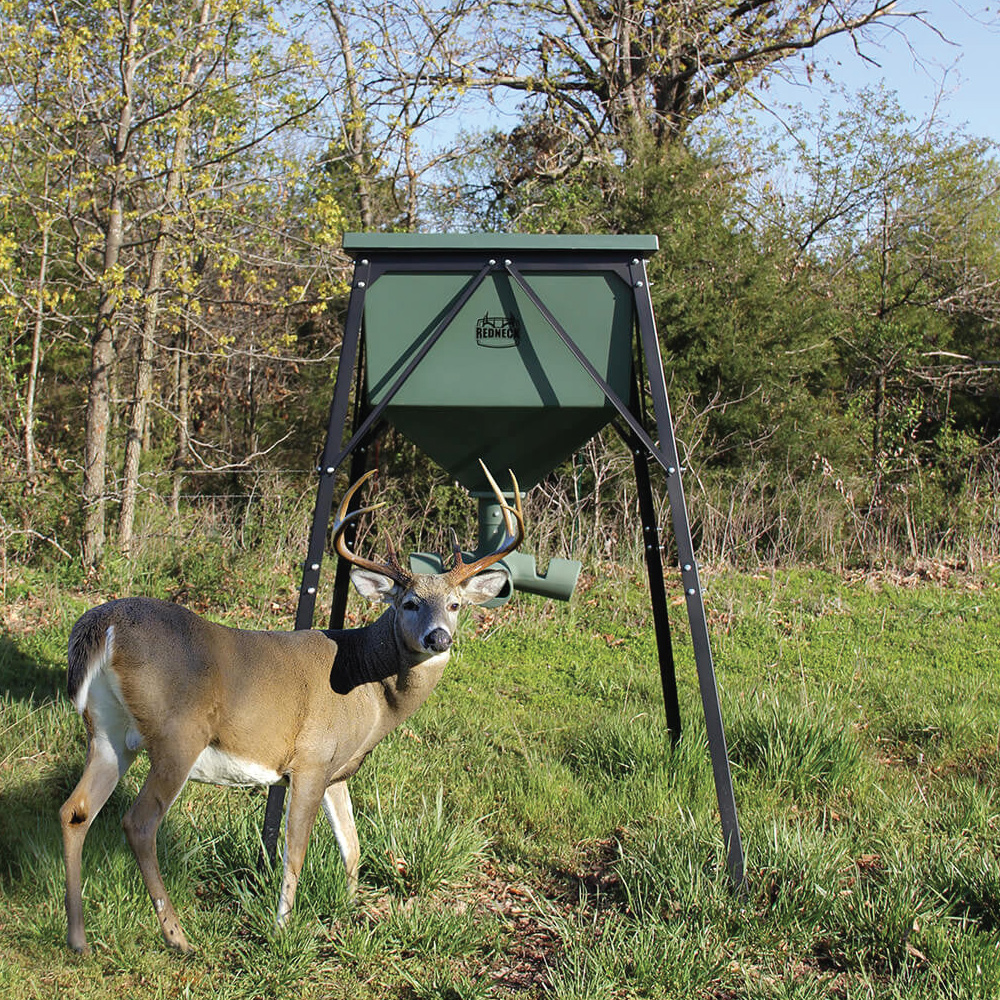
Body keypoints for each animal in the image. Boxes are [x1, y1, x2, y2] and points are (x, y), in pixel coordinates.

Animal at [59, 463, 523, 955]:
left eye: (455, 604)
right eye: (410, 603)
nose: (439, 636)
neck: (370, 688)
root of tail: (103, 625)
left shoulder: (338, 771)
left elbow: (352, 846)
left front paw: (350, 909)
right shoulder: (310, 761)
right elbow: (294, 851)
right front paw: (283, 930)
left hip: (108, 732)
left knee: (76, 811)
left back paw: (78, 938)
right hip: (177, 735)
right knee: (139, 823)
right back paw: (178, 937)